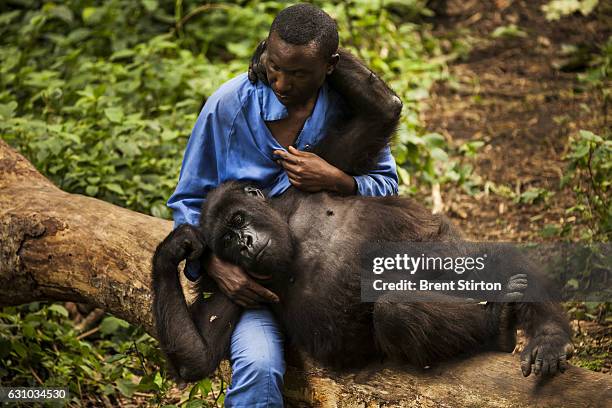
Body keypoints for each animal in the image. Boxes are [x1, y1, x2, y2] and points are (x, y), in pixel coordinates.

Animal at [151, 50, 572, 382]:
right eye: (226, 242)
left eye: (238, 221)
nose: (245, 243)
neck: (291, 230)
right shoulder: (236, 287)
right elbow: (198, 356)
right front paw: (173, 249)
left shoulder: (310, 171)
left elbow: (380, 114)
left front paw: (263, 55)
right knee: (397, 311)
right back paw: (494, 329)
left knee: (495, 258)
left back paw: (548, 335)